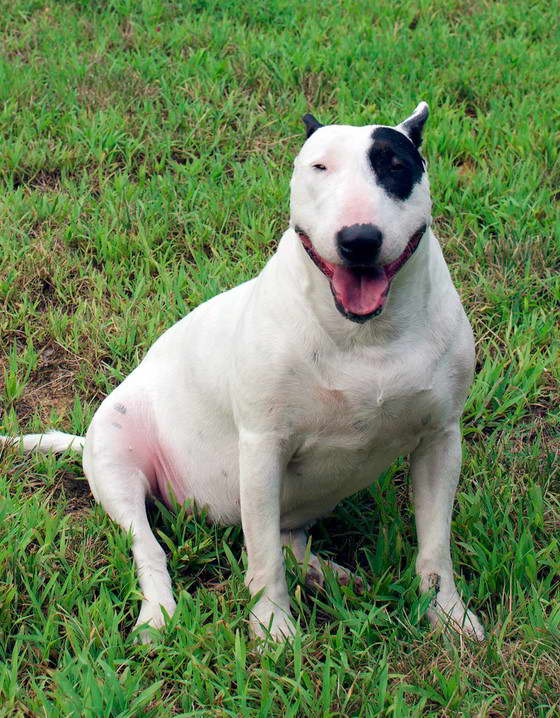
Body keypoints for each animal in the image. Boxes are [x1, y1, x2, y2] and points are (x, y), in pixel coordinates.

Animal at [2, 100, 486, 640]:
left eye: (396, 166)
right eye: (319, 167)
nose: (359, 239)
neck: (366, 336)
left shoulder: (440, 439)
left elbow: (435, 545)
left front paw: (448, 615)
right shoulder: (261, 446)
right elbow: (262, 556)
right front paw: (273, 628)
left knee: (288, 534)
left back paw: (323, 572)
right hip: (117, 460)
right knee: (151, 546)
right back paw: (158, 614)